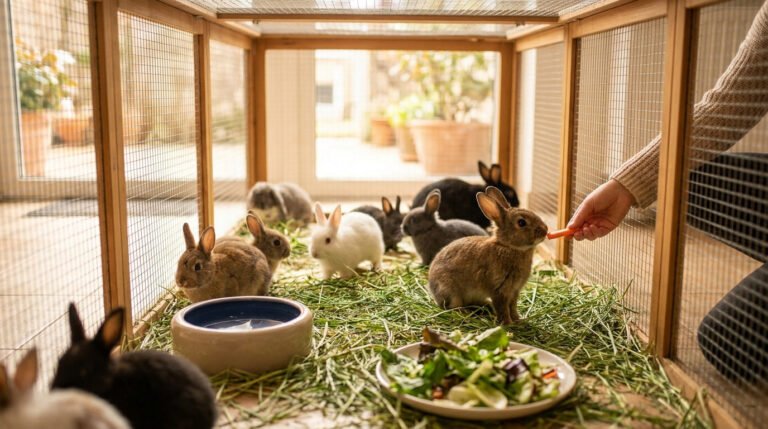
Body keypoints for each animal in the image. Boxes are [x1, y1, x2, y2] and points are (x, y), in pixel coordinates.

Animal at [428, 186, 548, 325]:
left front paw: (518, 320)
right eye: (521, 222)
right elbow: (502, 308)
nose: (545, 230)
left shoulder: (514, 291)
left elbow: (512, 306)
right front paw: (507, 323)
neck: (508, 246)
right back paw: (466, 314)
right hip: (450, 291)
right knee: (453, 307)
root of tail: (433, 290)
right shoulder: (499, 290)